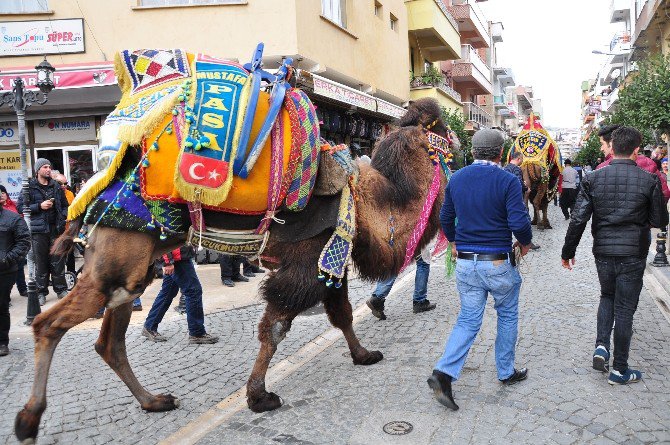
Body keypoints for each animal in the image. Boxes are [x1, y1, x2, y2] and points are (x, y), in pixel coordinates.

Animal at [15, 46, 454, 440]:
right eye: (440, 130)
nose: (459, 140)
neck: (369, 203)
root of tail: (93, 191)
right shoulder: (309, 260)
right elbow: (276, 327)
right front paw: (259, 397)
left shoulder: (330, 259)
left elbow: (342, 313)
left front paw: (364, 355)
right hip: (115, 258)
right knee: (48, 323)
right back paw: (28, 420)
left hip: (132, 271)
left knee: (110, 341)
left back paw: (154, 401)